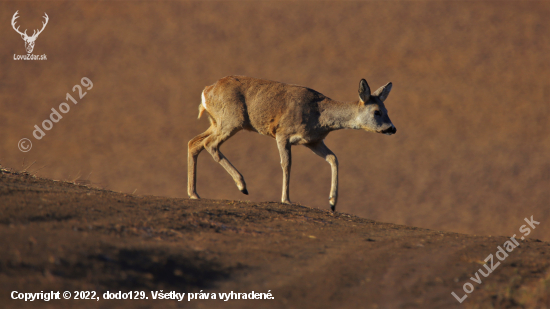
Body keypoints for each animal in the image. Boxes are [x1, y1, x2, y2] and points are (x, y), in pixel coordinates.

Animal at [190, 76, 396, 211]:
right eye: (377, 111)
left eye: (387, 110)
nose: (392, 128)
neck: (319, 115)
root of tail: (206, 92)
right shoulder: (282, 134)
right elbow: (287, 164)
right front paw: (286, 199)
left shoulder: (313, 141)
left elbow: (333, 158)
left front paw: (332, 203)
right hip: (232, 121)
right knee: (209, 144)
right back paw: (242, 186)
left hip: (217, 122)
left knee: (194, 143)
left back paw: (194, 194)